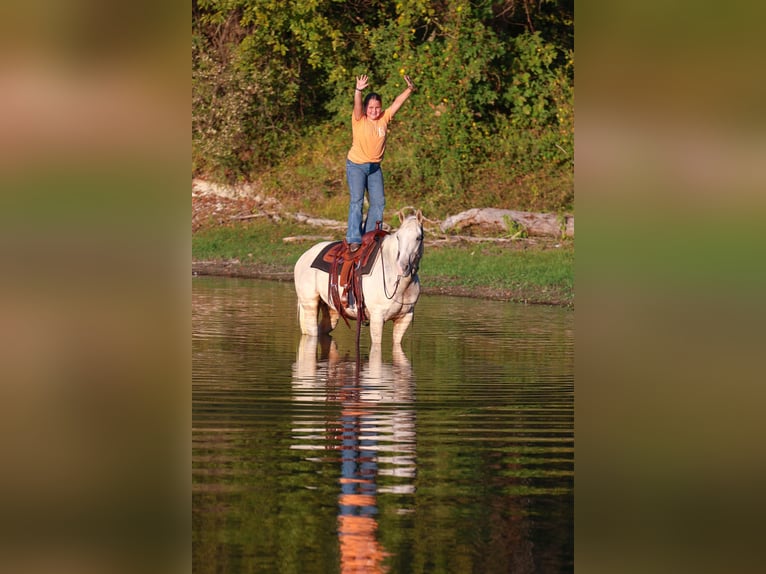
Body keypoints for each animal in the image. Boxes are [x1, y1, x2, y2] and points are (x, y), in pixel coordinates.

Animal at [294, 211, 424, 347]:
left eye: (419, 237)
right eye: (398, 237)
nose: (402, 267)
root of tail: (304, 256)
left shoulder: (404, 318)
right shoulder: (377, 318)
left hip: (330, 309)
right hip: (309, 304)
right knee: (312, 332)